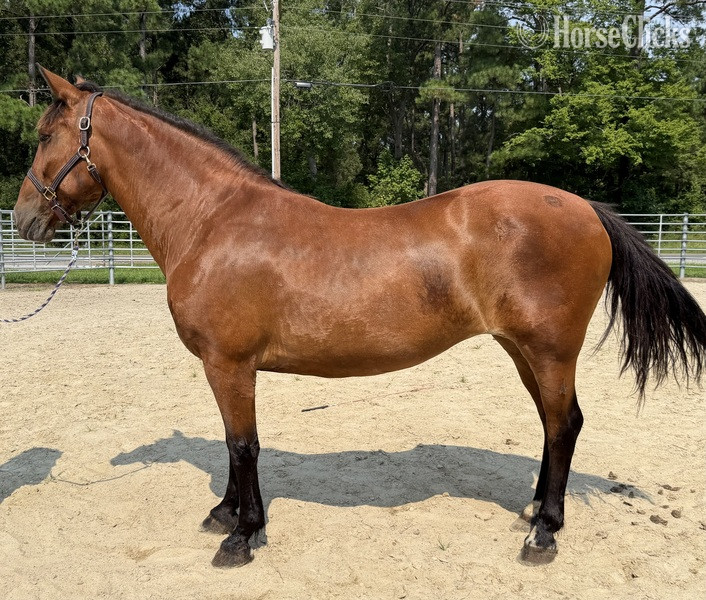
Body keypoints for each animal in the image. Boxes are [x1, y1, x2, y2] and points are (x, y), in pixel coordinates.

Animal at [14, 67, 706, 568]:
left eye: (46, 137)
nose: (23, 219)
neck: (213, 220)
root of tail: (587, 208)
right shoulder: (225, 367)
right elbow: (235, 445)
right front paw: (225, 515)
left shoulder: (229, 364)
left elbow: (243, 444)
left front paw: (242, 535)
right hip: (522, 350)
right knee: (552, 424)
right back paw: (535, 511)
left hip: (550, 350)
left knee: (564, 426)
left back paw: (544, 535)